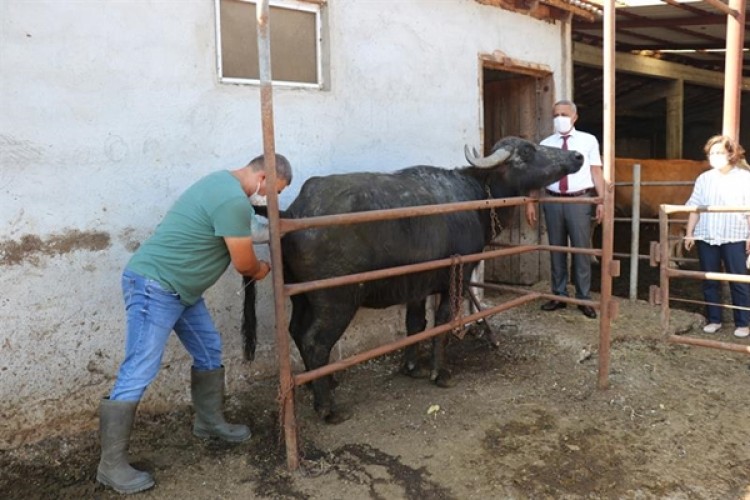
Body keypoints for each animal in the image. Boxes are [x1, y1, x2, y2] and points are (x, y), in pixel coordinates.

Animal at [244, 136, 584, 422]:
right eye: (526, 152)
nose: (577, 156)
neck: (473, 197)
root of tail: (293, 213)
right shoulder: (455, 279)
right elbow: (441, 323)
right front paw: (439, 372)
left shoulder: (416, 285)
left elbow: (415, 324)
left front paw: (411, 366)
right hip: (336, 300)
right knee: (315, 341)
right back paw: (327, 406)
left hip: (301, 296)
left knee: (296, 331)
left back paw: (324, 382)